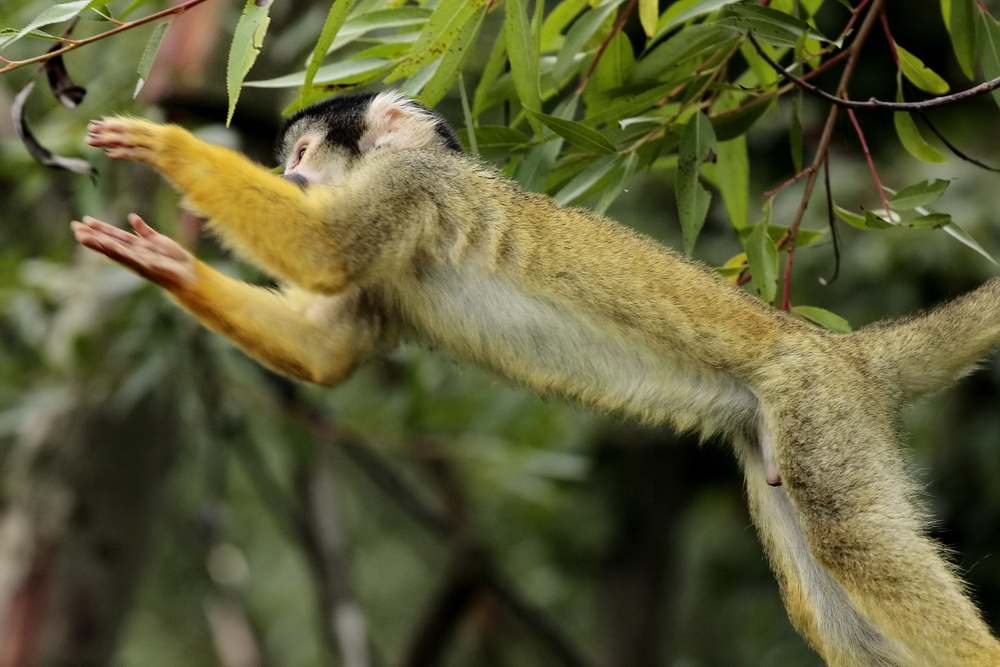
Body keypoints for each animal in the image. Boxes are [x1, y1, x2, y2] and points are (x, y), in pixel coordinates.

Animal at [70, 91, 1000, 664]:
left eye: (302, 152)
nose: (292, 176)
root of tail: (850, 351)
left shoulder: (409, 185)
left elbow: (323, 247)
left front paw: (167, 143)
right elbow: (328, 349)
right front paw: (160, 262)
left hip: (819, 406)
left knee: (853, 542)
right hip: (780, 433)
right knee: (833, 598)